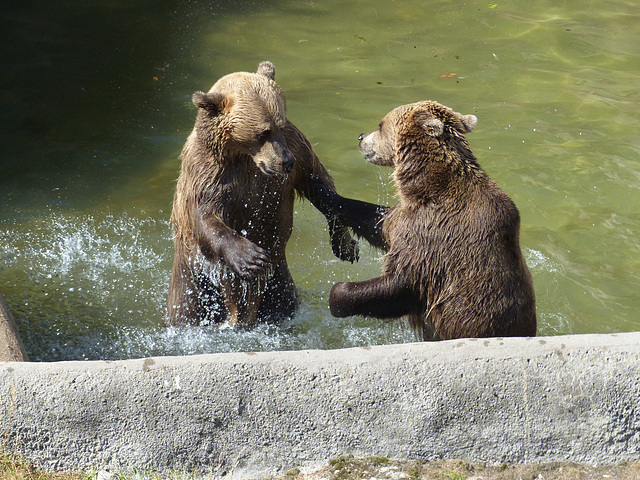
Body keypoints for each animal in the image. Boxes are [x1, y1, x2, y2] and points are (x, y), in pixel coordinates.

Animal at [166, 61, 360, 326]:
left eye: (280, 124)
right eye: (262, 133)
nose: (285, 162)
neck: (242, 156)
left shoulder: (296, 150)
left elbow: (320, 183)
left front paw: (347, 245)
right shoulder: (208, 170)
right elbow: (204, 214)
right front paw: (251, 257)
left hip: (278, 285)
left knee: (281, 303)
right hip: (195, 284)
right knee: (186, 312)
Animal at [312, 99, 536, 340]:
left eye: (380, 125)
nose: (361, 137)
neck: (428, 186)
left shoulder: (433, 236)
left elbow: (401, 284)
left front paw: (337, 295)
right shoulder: (406, 217)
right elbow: (377, 222)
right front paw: (321, 187)